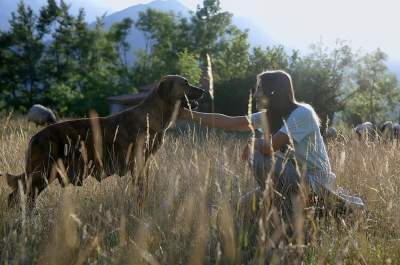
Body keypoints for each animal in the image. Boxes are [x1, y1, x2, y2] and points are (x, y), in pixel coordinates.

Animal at [2, 75, 203, 207]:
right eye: (186, 83)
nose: (203, 90)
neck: (152, 116)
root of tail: (34, 137)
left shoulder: (143, 163)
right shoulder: (138, 162)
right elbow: (140, 190)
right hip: (41, 173)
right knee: (18, 197)